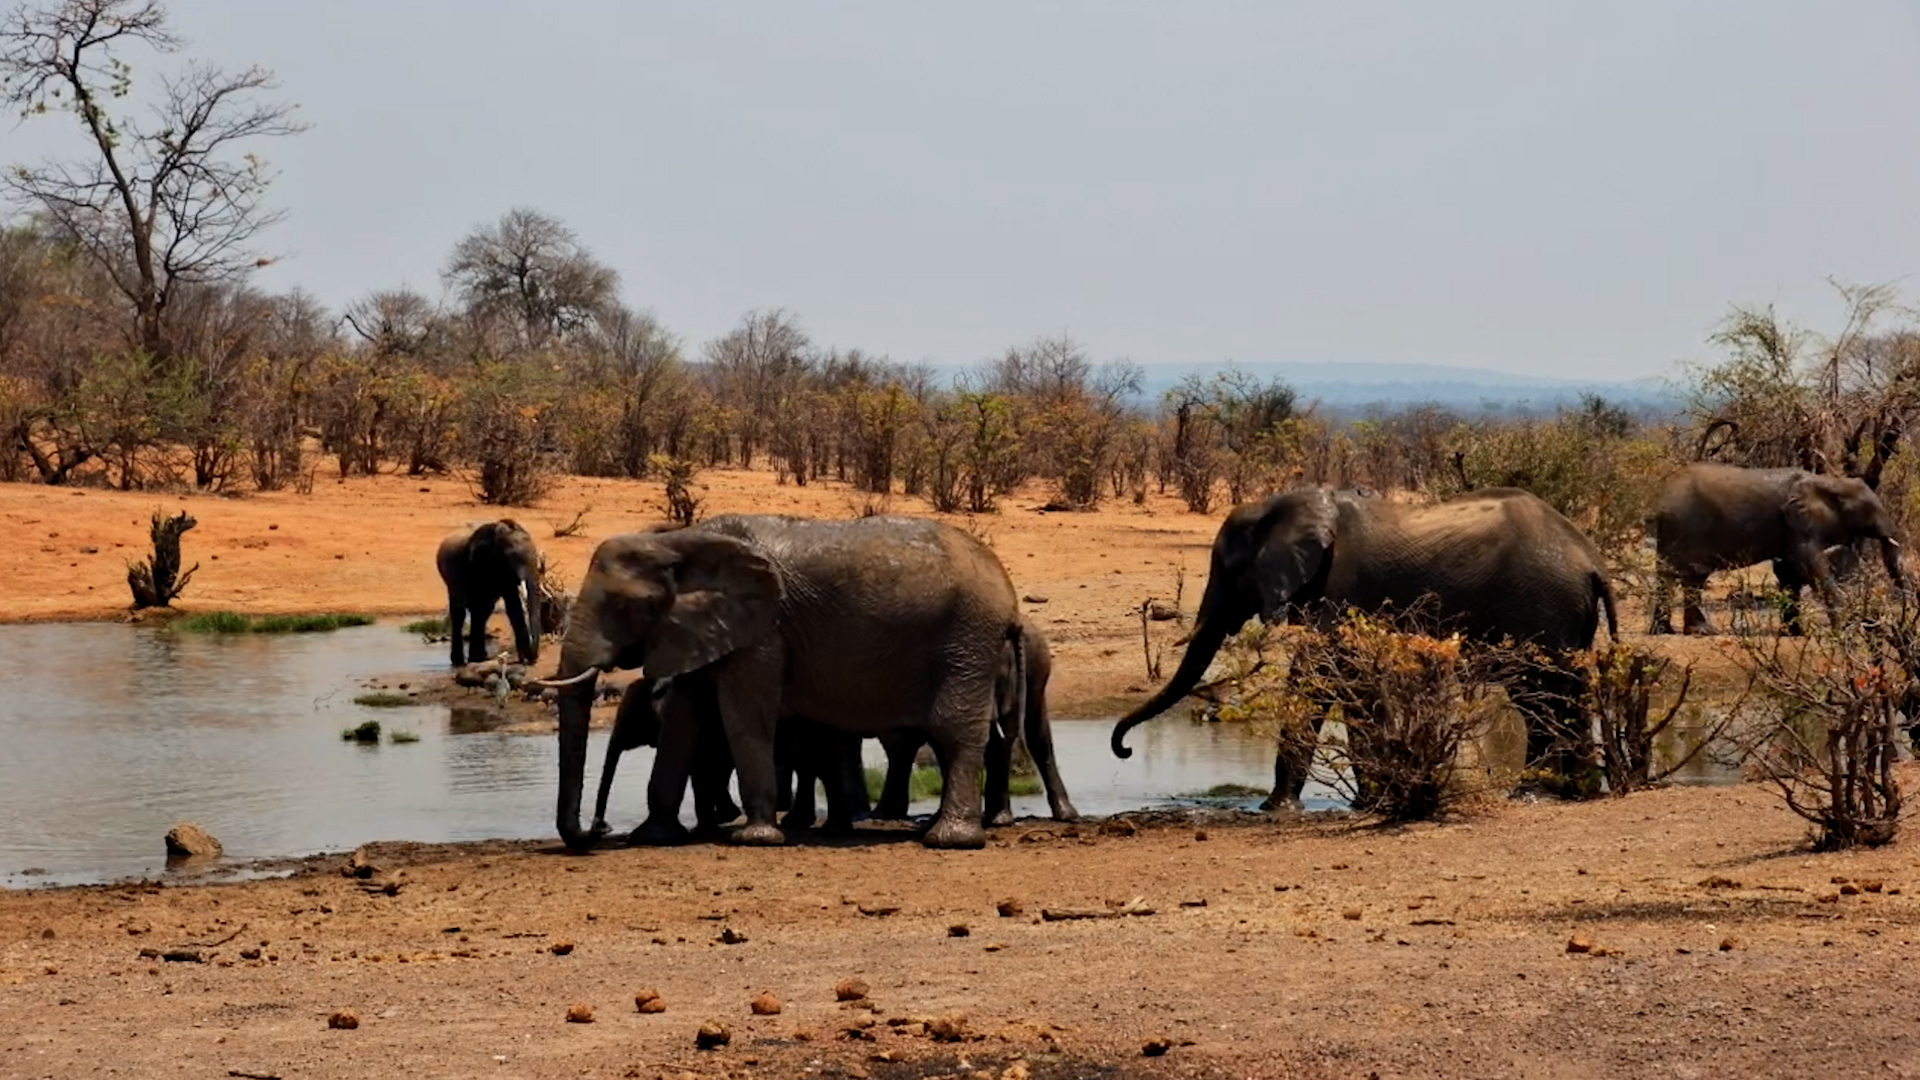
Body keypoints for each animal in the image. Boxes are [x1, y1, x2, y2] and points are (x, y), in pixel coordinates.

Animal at [436, 520, 542, 667]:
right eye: (513, 558)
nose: (529, 659)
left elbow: (510, 607)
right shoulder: (486, 565)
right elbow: (512, 605)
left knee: (483, 612)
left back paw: (479, 657)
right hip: (450, 576)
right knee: (460, 612)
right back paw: (460, 661)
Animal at [540, 513, 1024, 851]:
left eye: (625, 609)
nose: (599, 827)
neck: (678, 539)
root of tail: (1008, 591)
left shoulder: (764, 631)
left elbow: (744, 713)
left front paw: (754, 840)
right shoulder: (704, 626)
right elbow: (683, 715)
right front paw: (653, 836)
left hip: (967, 637)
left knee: (952, 729)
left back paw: (950, 841)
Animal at [1109, 486, 1619, 807]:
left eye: (1227, 569)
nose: (1124, 751)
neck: (1286, 504)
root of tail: (1592, 561)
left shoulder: (1340, 587)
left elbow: (1320, 675)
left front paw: (1275, 808)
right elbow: (1352, 683)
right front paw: (1371, 800)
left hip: (1540, 606)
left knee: (1540, 694)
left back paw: (1535, 793)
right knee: (1564, 692)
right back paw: (1576, 793)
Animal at [1649, 464, 1904, 635]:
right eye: (1869, 510)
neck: (1832, 482)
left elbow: (1790, 572)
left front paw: (1794, 633)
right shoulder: (1799, 526)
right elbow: (1812, 565)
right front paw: (1842, 629)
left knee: (1685, 577)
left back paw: (1670, 631)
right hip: (1685, 525)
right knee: (1685, 576)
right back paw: (1695, 631)